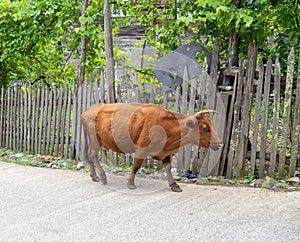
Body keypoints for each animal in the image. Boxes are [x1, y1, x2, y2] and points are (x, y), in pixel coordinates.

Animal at [80, 103, 223, 192]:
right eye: (205, 128)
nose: (220, 143)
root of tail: (88, 110)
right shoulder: (142, 149)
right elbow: (136, 166)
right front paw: (130, 183)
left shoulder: (166, 152)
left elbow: (168, 168)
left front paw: (174, 185)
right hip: (95, 141)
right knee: (93, 155)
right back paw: (102, 177)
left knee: (89, 155)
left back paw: (94, 176)